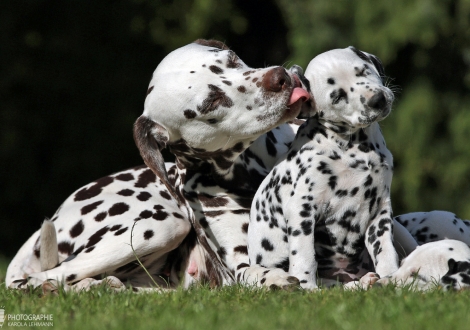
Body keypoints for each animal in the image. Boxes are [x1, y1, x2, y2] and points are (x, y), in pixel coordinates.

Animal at [6, 39, 312, 292]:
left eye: (233, 59)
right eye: (211, 101)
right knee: (38, 279)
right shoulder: (237, 266)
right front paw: (272, 277)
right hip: (160, 226)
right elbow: (252, 272)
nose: (281, 77)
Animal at [248, 46, 398, 288]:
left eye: (362, 71)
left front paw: (393, 279)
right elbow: (305, 256)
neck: (355, 148)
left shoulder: (380, 210)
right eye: (338, 96)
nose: (377, 100)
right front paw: (307, 287)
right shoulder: (302, 208)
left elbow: (385, 252)